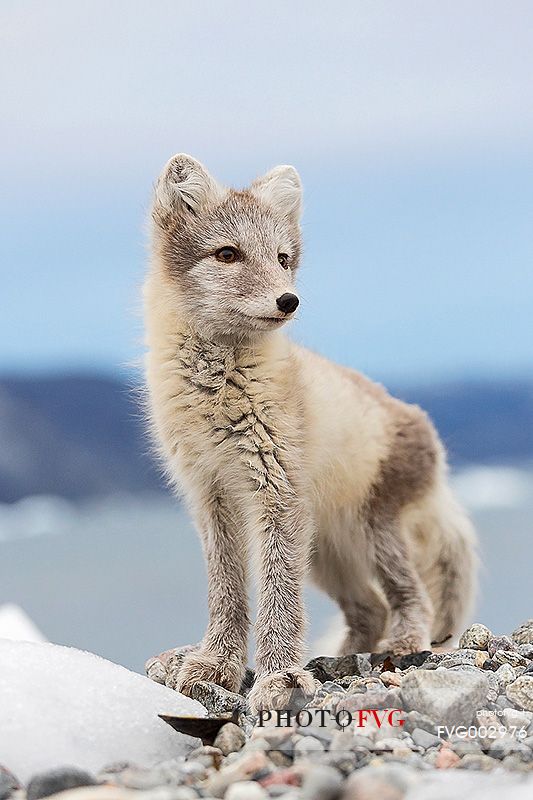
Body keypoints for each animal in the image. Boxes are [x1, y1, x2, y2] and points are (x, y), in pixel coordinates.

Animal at [143, 153, 476, 708]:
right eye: (228, 253)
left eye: (282, 258)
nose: (289, 300)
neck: (218, 387)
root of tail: (431, 443)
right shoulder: (210, 496)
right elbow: (226, 592)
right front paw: (216, 664)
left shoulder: (277, 492)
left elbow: (279, 596)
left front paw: (279, 675)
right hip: (324, 551)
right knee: (369, 609)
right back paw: (337, 658)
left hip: (372, 533)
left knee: (411, 598)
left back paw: (402, 646)